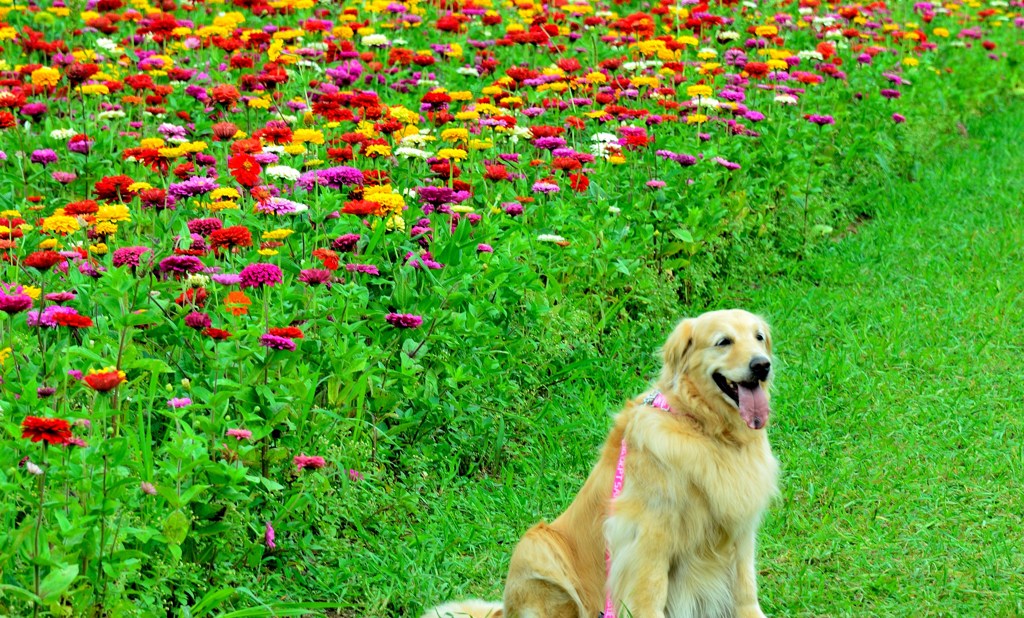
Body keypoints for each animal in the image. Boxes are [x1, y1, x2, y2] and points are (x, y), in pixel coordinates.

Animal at [419, 311, 778, 618]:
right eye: (723, 341)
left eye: (759, 337)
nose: (762, 366)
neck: (704, 427)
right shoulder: (648, 537)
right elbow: (649, 594)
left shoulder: (740, 531)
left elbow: (745, 590)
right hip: (536, 547)